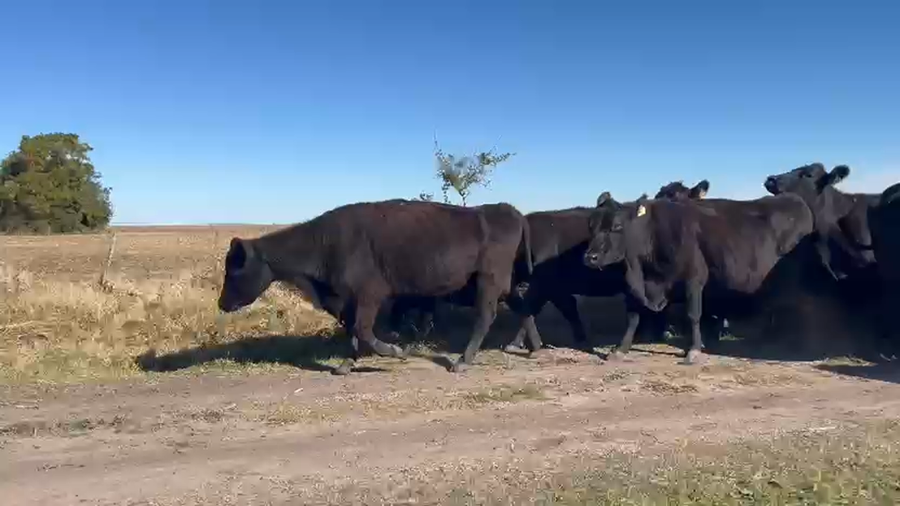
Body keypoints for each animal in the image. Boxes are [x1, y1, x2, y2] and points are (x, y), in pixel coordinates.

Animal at [217, 198, 535, 375]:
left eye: (234, 271)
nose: (222, 303)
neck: (324, 243)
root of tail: (508, 210)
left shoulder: (368, 297)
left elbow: (364, 331)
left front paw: (396, 350)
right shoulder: (347, 302)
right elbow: (353, 332)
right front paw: (346, 365)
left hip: (487, 282)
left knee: (485, 317)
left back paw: (463, 361)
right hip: (503, 284)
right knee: (524, 307)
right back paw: (533, 347)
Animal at [582, 191, 815, 364]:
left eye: (616, 226)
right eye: (591, 226)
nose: (590, 257)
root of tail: (796, 200)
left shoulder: (693, 278)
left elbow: (693, 314)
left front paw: (694, 350)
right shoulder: (639, 286)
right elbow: (633, 316)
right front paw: (620, 349)